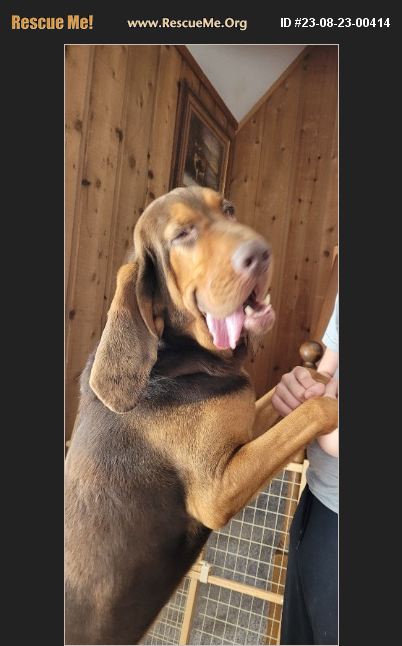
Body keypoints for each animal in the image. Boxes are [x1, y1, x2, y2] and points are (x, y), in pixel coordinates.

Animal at [65, 186, 337, 645]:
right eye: (182, 235)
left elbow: (289, 401)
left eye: (228, 209)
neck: (172, 354)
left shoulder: (241, 429)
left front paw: (312, 378)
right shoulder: (216, 487)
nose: (261, 253)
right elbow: (315, 409)